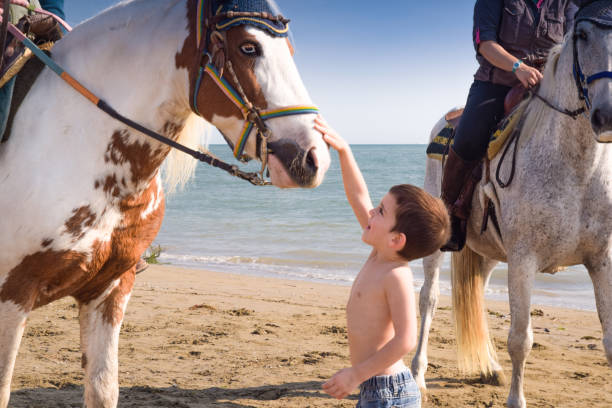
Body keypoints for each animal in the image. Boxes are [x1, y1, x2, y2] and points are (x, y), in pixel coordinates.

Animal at [414, 6, 608, 408]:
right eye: (582, 35)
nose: (607, 114)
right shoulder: (523, 260)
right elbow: (521, 340)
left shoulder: (601, 259)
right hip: (440, 239)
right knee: (428, 298)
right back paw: (417, 375)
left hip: (486, 248)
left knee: (477, 290)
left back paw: (488, 368)